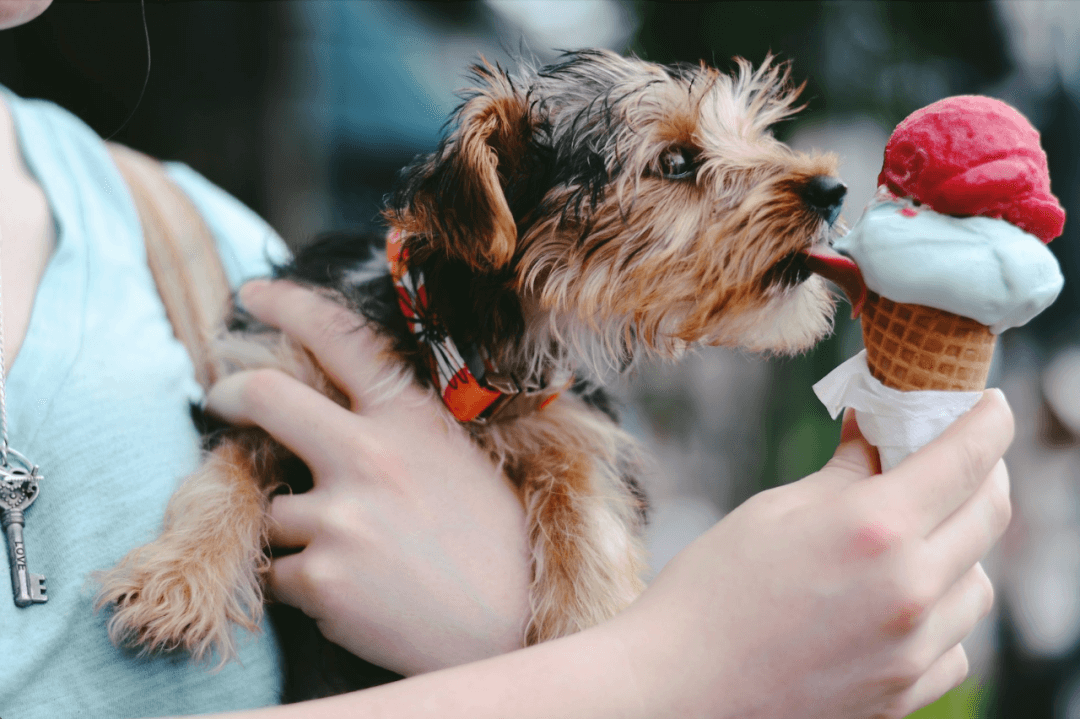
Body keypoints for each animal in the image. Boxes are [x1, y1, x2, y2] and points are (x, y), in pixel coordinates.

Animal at [92, 47, 846, 690]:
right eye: (678, 160)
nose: (833, 189)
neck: (455, 343)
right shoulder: (272, 373)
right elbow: (228, 468)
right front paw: (178, 576)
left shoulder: (571, 418)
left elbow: (584, 498)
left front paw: (587, 620)